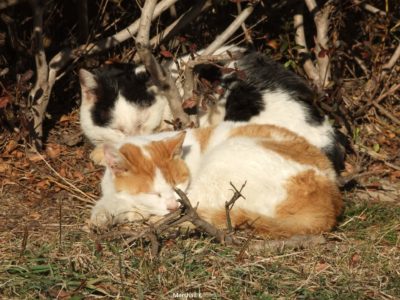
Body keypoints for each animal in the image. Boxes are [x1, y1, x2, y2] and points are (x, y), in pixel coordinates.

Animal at [90, 123, 344, 238]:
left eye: (177, 187)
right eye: (154, 193)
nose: (171, 205)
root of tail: (328, 205)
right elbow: (107, 203)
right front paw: (101, 216)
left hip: (225, 160)